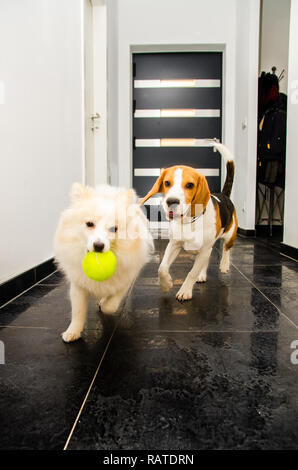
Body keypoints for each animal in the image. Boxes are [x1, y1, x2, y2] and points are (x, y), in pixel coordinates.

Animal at [53, 183, 152, 342]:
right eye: (89, 224)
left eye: (113, 229)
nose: (98, 246)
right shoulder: (78, 284)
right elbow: (78, 311)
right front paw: (73, 332)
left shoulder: (126, 278)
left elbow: (111, 305)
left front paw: (104, 304)